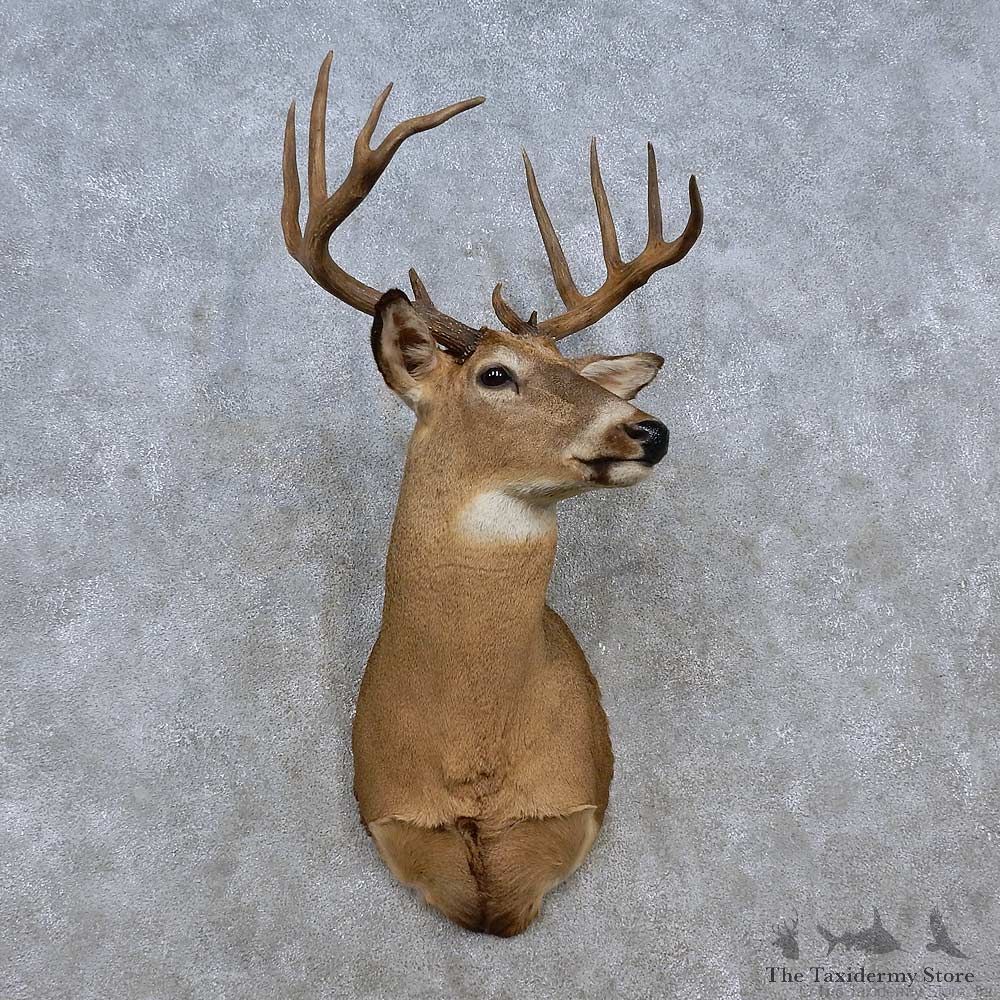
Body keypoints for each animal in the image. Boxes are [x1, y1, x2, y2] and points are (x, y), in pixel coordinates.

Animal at [280, 53, 703, 937]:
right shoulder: (393, 815)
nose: (648, 430)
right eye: (495, 374)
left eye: (578, 370)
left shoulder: (571, 804)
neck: (474, 755)